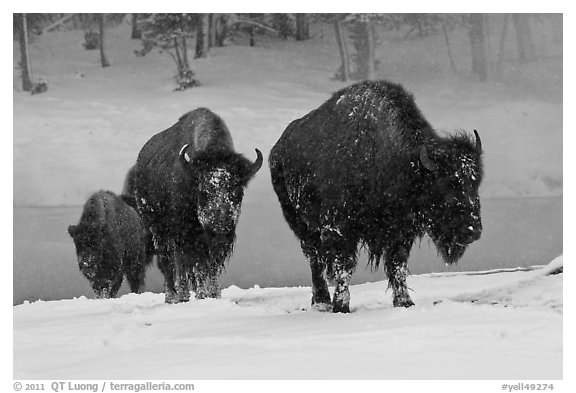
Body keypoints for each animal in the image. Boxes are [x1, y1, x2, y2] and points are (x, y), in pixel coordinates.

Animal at [134, 107, 262, 304]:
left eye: (237, 189)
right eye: (203, 190)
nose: (220, 225)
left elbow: (211, 266)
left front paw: (213, 294)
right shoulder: (186, 236)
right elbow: (194, 265)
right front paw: (199, 294)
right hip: (158, 229)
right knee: (168, 261)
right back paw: (174, 296)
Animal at [268, 79, 484, 312]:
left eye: (476, 182)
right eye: (447, 184)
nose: (473, 231)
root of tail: (278, 148)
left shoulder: (400, 231)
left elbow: (397, 265)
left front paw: (405, 302)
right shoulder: (340, 229)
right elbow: (344, 267)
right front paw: (341, 306)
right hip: (301, 224)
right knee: (314, 258)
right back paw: (322, 301)